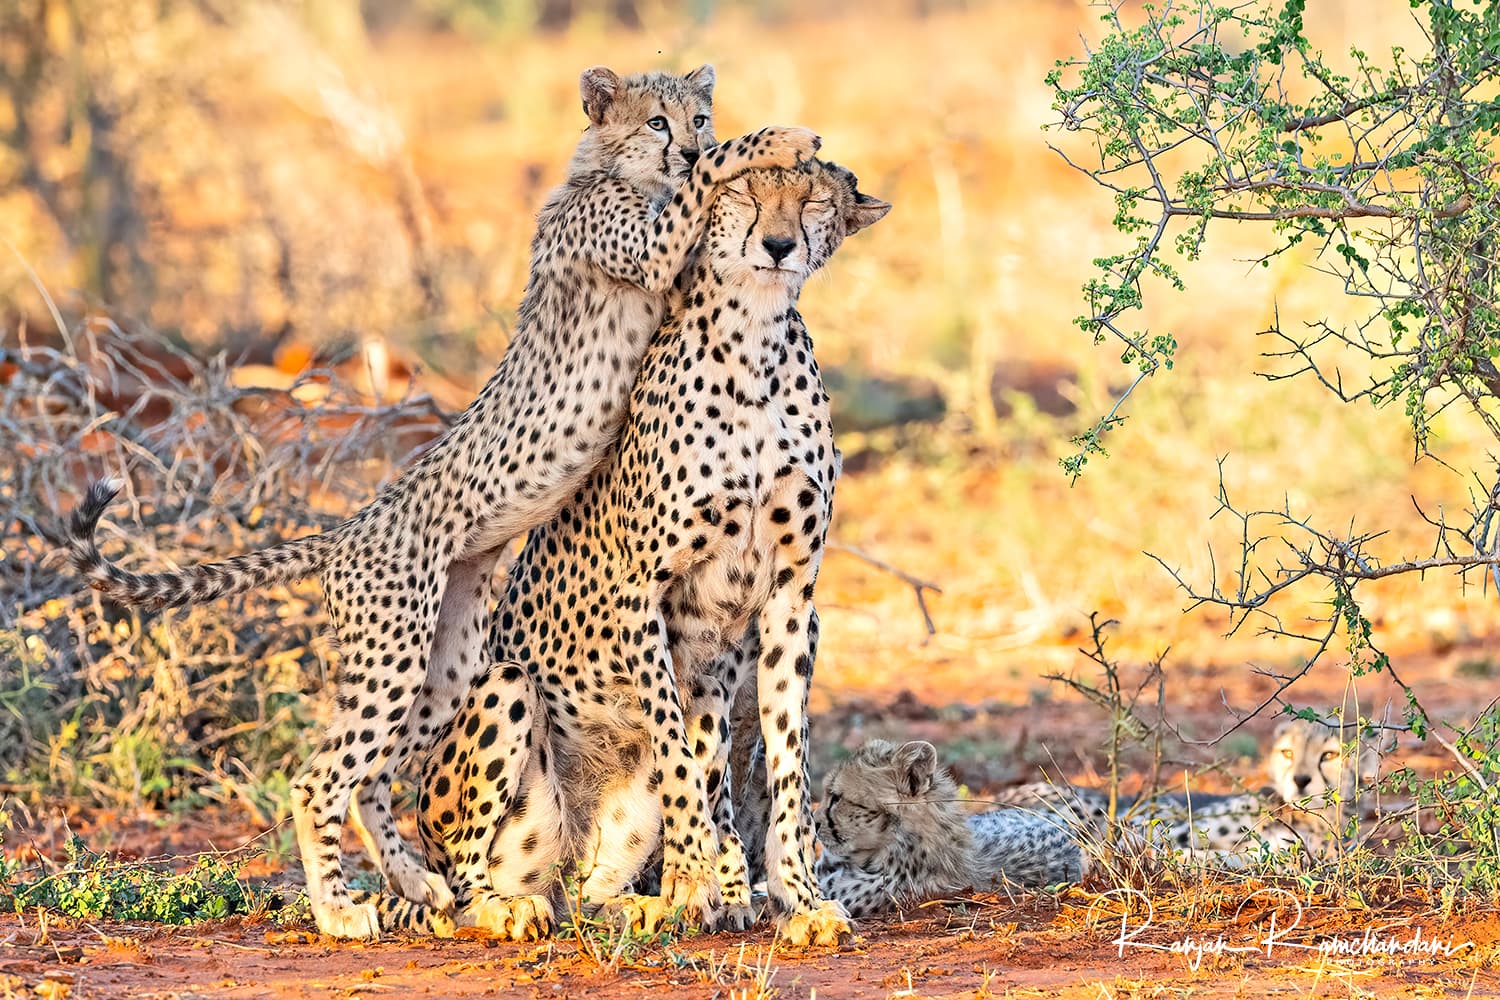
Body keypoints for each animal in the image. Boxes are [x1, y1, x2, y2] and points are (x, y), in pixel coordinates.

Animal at [61, 64, 822, 941]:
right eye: (658, 123)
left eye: (697, 114)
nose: (691, 141)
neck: (606, 169)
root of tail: (346, 530)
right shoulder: (646, 246)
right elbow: (700, 197)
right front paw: (775, 141)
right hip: (396, 652)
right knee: (322, 776)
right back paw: (341, 911)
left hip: (448, 662)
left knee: (376, 776)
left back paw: (419, 883)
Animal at [396, 160, 888, 941]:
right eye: (742, 189)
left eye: (812, 196)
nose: (779, 245)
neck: (756, 347)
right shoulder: (643, 592)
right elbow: (678, 751)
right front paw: (695, 883)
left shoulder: (792, 599)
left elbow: (784, 761)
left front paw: (801, 902)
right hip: (502, 692)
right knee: (470, 881)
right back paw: (509, 909)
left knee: (590, 886)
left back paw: (640, 903)